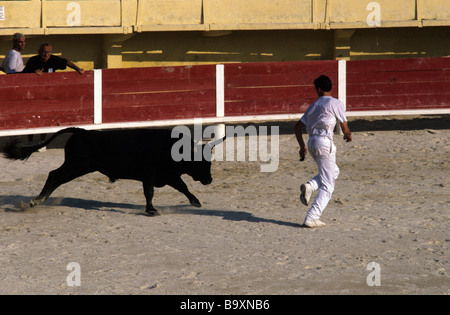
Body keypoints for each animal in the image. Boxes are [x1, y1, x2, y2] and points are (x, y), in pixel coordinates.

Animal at [1, 127, 223, 216]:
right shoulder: (150, 175)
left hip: (76, 166)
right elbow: (150, 193)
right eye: (201, 162)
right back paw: (37, 200)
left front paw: (195, 202)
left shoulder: (168, 176)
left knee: (55, 176)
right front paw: (151, 210)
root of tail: (81, 131)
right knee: (54, 175)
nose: (209, 180)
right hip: (76, 166)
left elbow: (183, 187)